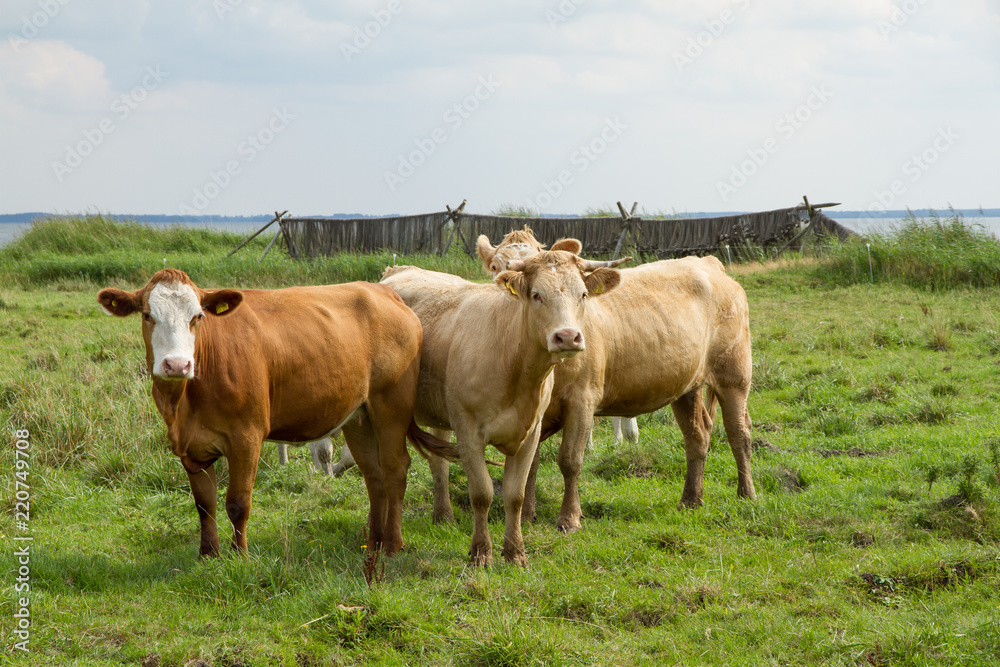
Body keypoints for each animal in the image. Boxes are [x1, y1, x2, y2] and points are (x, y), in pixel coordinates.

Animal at [97, 268, 456, 558]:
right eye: (147, 315)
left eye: (198, 317)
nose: (176, 364)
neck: (185, 402)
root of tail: (384, 292)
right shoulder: (190, 447)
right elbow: (204, 504)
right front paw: (208, 554)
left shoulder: (246, 437)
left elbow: (237, 502)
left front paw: (239, 556)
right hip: (359, 415)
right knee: (374, 473)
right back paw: (375, 541)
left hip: (391, 406)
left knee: (396, 468)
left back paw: (392, 544)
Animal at [379, 250, 622, 565]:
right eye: (536, 295)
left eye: (582, 294)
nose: (568, 336)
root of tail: (397, 270)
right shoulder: (468, 432)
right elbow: (482, 493)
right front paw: (481, 552)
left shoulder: (530, 434)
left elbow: (514, 495)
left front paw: (515, 552)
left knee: (438, 464)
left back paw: (443, 516)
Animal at [471, 233, 757, 532]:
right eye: (535, 294)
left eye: (583, 295)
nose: (568, 336)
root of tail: (708, 262)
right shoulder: (533, 414)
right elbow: (531, 464)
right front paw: (527, 515)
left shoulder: (583, 400)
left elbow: (570, 460)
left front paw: (570, 518)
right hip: (687, 387)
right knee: (697, 436)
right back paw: (691, 500)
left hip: (734, 376)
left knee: (739, 433)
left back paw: (746, 493)